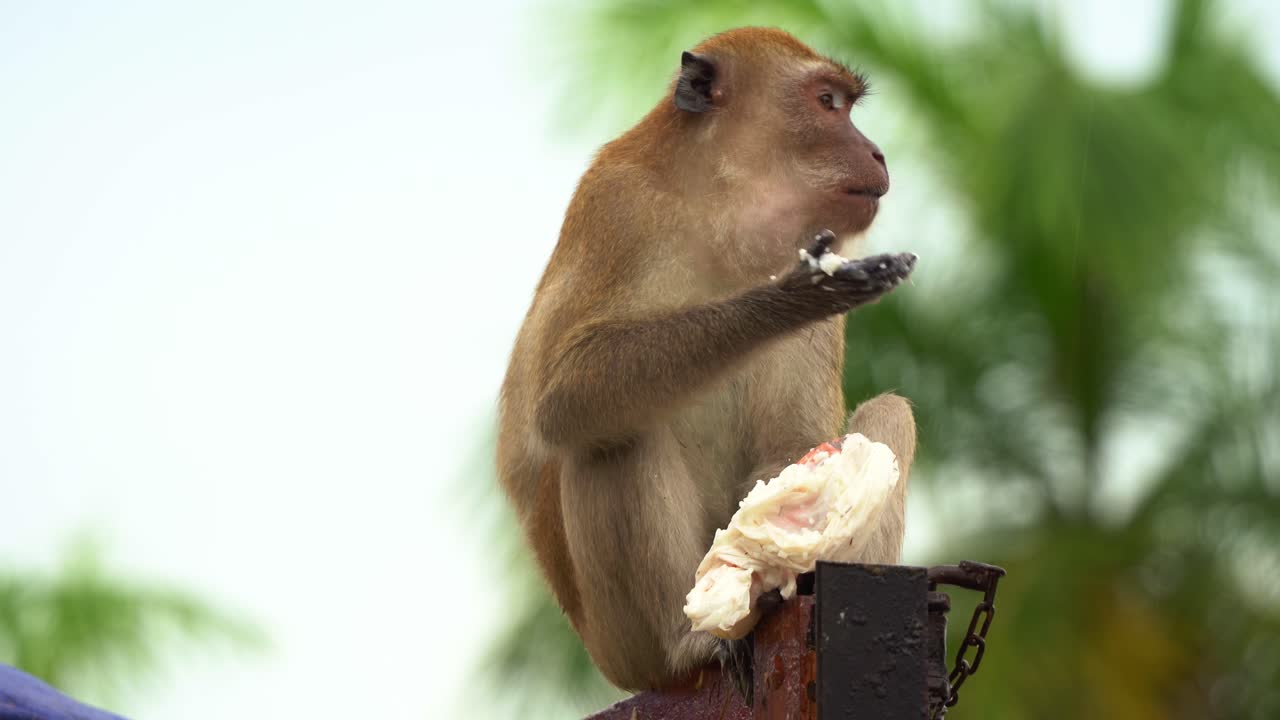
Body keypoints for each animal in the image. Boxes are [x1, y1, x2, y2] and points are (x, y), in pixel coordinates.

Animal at [497, 27, 919, 695]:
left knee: (890, 416)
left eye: (847, 105)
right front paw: (791, 298)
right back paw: (689, 644)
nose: (876, 153)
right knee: (611, 433)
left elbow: (792, 446)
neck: (720, 210)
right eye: (828, 102)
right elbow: (563, 394)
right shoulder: (616, 207)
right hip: (621, 646)